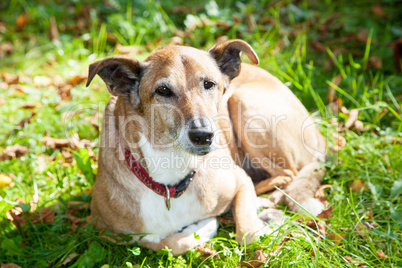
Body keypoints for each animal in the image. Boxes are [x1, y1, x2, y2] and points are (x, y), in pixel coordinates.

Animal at [85, 38, 326, 254]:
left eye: (209, 84)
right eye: (163, 91)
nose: (203, 135)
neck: (171, 174)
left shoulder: (239, 180)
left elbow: (248, 234)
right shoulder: (103, 229)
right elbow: (168, 243)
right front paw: (200, 228)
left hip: (244, 103)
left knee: (289, 175)